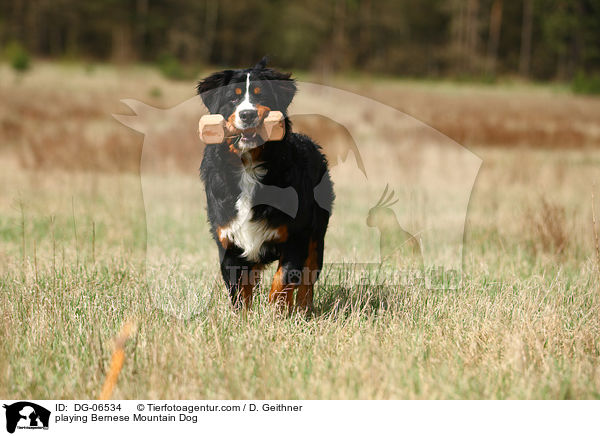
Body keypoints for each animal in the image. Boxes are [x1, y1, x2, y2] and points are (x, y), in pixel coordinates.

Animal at [199, 58, 336, 312]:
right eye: (233, 98)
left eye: (260, 95)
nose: (247, 114)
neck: (248, 167)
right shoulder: (229, 240)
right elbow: (239, 291)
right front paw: (244, 318)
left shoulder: (297, 234)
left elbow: (284, 280)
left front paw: (276, 314)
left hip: (317, 233)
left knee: (309, 276)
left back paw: (303, 309)